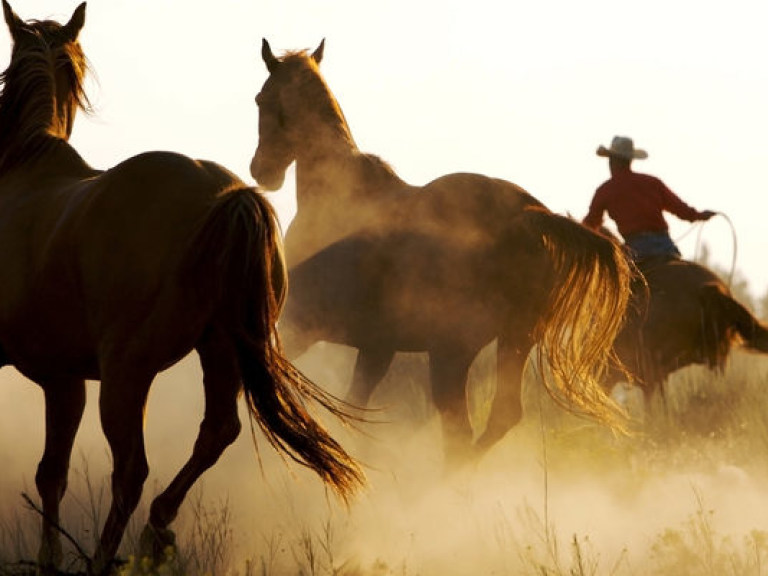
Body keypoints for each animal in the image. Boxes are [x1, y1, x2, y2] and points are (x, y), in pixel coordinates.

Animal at [0, 3, 364, 572]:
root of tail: (228, 196)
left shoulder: (57, 378)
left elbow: (49, 474)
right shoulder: (65, 379)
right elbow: (51, 474)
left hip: (128, 374)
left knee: (131, 471)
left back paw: (109, 556)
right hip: (218, 352)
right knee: (214, 434)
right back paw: (157, 529)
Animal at [249, 39, 632, 464]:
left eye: (260, 99)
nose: (261, 170)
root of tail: (530, 215)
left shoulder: (302, 325)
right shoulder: (376, 346)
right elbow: (354, 407)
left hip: (451, 353)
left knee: (461, 431)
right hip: (511, 341)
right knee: (497, 419)